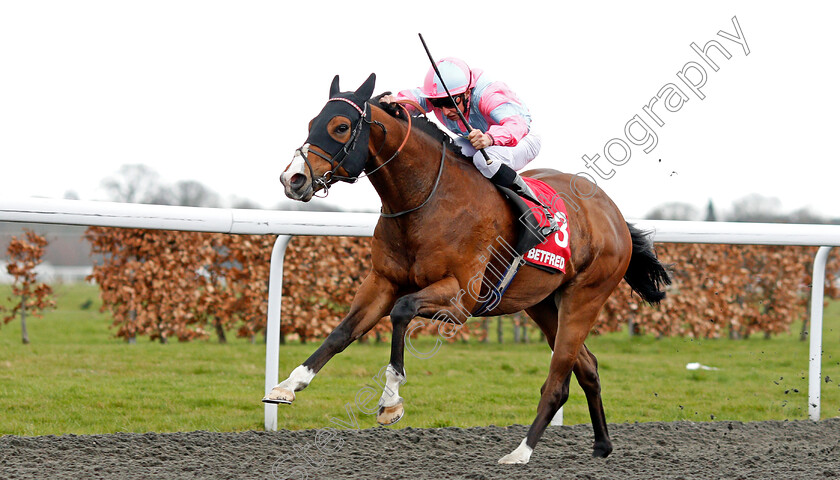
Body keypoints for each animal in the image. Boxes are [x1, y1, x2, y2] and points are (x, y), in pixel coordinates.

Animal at [270, 73, 668, 464]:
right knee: (587, 367)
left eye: (340, 127)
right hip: (542, 304)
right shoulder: (381, 282)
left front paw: (390, 402)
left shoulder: (461, 300)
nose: (293, 179)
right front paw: (288, 385)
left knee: (558, 379)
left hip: (584, 298)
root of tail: (613, 213)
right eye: (311, 123)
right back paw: (601, 444)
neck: (426, 200)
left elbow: (401, 311)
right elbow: (341, 333)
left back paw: (520, 452)